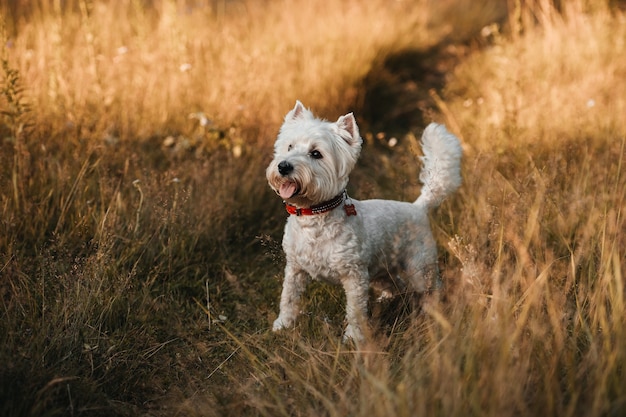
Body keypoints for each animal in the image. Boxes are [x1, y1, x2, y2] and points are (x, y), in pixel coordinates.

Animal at [264, 101, 458, 342]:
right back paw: (387, 299)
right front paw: (282, 325)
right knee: (396, 284)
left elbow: (355, 310)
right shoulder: (295, 269)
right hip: (379, 270)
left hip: (420, 267)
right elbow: (288, 299)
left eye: (316, 153)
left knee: (431, 288)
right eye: (289, 146)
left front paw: (353, 338)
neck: (314, 216)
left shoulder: (354, 276)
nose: (283, 166)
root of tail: (418, 207)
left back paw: (436, 311)